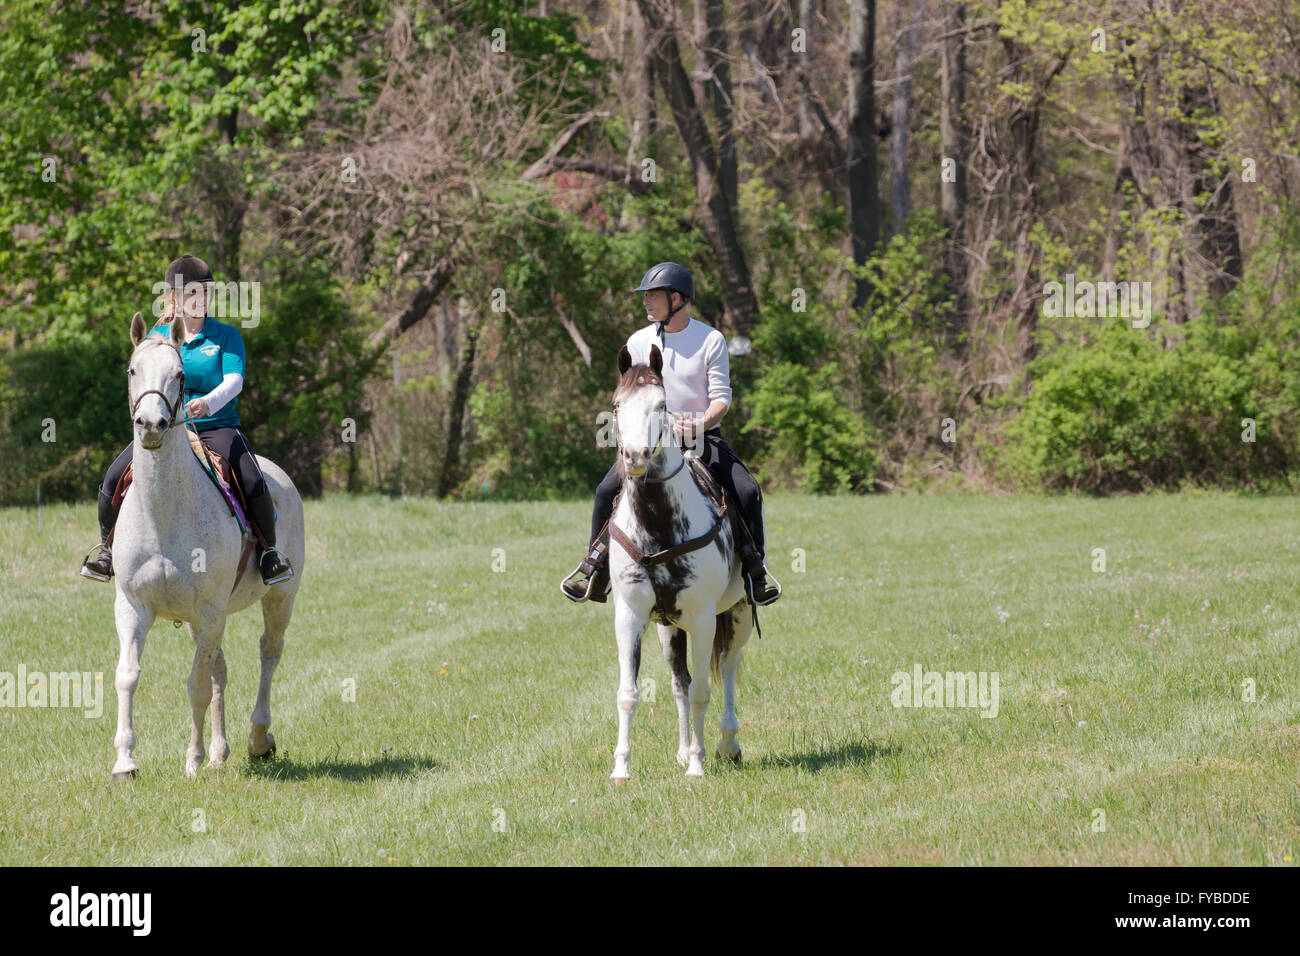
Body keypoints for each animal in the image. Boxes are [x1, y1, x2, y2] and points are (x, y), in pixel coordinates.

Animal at [110, 312, 305, 780]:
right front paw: (125, 762)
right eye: (132, 370)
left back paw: (258, 740)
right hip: (204, 622)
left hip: (279, 599)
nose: (151, 425)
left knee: (268, 652)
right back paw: (221, 751)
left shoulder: (210, 609)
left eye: (179, 375)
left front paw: (193, 760)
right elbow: (128, 675)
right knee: (220, 667)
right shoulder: (132, 606)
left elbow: (196, 685)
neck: (164, 513)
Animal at [605, 343, 759, 780]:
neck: (658, 522)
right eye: (617, 404)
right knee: (681, 683)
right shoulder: (631, 615)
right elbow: (630, 693)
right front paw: (621, 768)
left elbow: (704, 692)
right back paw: (683, 748)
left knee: (727, 667)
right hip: (668, 629)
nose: (636, 456)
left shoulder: (705, 618)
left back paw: (726, 746)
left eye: (661, 405)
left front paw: (696, 765)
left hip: (739, 614)